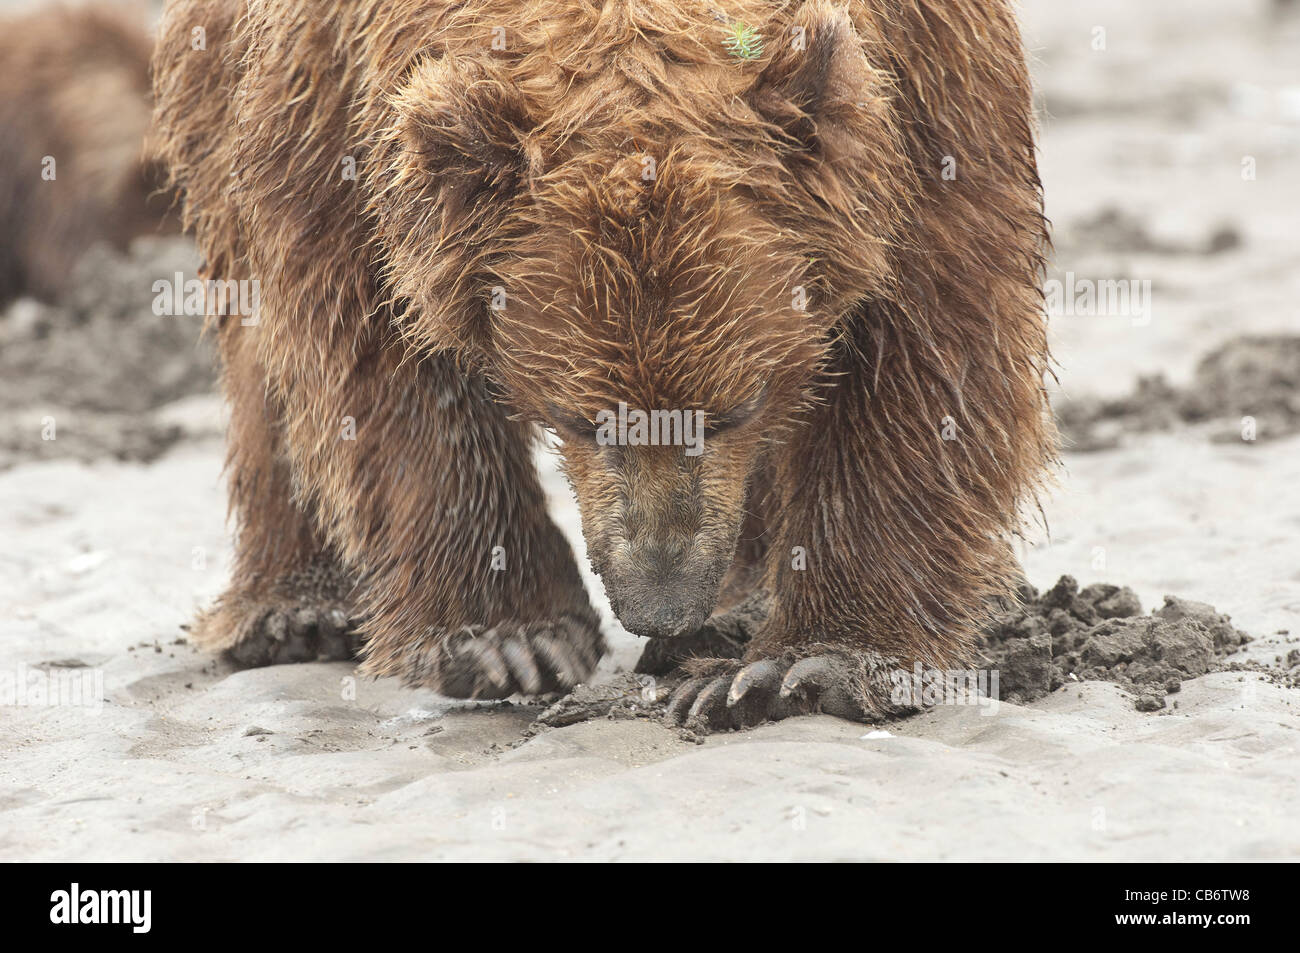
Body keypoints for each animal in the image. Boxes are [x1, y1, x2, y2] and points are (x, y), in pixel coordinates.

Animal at [152, 0, 1054, 731]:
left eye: (737, 405)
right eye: (579, 417)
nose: (662, 603)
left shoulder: (913, 99)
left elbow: (927, 338)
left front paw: (802, 663)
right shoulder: (337, 110)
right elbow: (375, 357)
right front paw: (510, 639)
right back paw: (292, 611)